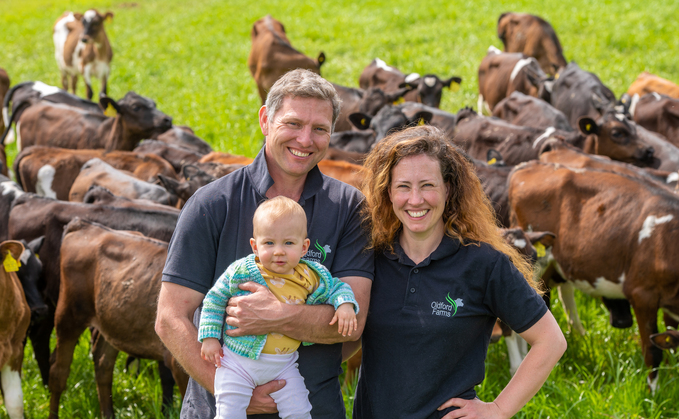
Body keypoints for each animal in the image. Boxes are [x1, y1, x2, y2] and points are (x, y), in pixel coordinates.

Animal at [49, 220, 189, 419]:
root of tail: (86, 225)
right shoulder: (177, 363)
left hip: (112, 322)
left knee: (103, 364)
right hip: (68, 316)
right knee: (58, 373)